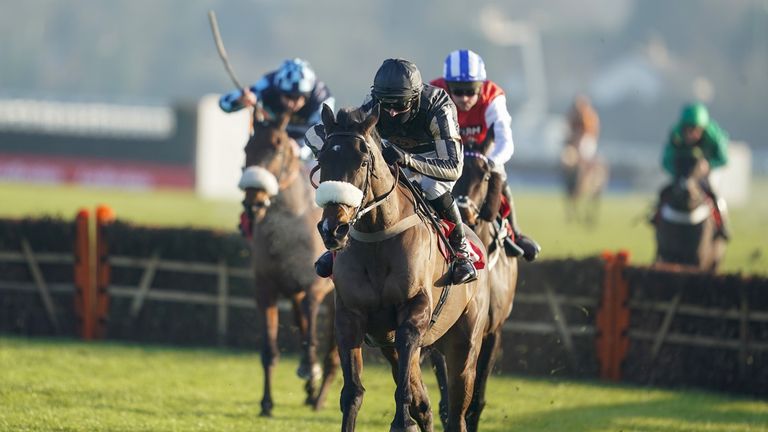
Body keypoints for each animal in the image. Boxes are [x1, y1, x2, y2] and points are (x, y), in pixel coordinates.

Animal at [238, 111, 338, 416]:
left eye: (278, 147)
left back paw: (319, 396)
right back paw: (311, 391)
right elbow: (269, 348)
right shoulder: (266, 289)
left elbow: (311, 338)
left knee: (333, 351)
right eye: (247, 148)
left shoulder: (314, 287)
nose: (254, 202)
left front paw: (308, 368)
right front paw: (266, 403)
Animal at [314, 104, 488, 432]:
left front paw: (401, 422)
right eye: (322, 159)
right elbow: (353, 392)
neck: (377, 235)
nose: (334, 229)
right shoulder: (350, 317)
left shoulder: (414, 312)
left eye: (363, 160)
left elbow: (403, 391)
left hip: (464, 344)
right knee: (426, 406)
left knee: (456, 411)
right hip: (393, 347)